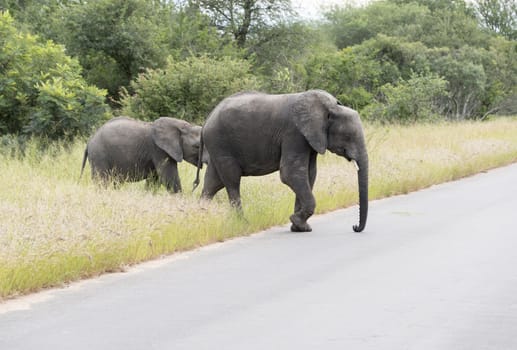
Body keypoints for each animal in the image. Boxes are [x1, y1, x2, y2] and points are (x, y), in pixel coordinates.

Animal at [194, 90, 366, 232]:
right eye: (348, 136)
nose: (355, 227)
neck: (331, 108)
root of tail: (207, 119)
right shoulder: (294, 133)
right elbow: (290, 173)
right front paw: (297, 222)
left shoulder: (311, 138)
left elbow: (309, 174)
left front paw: (299, 227)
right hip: (220, 143)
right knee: (232, 181)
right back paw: (243, 223)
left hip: (217, 147)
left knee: (212, 184)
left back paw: (202, 217)